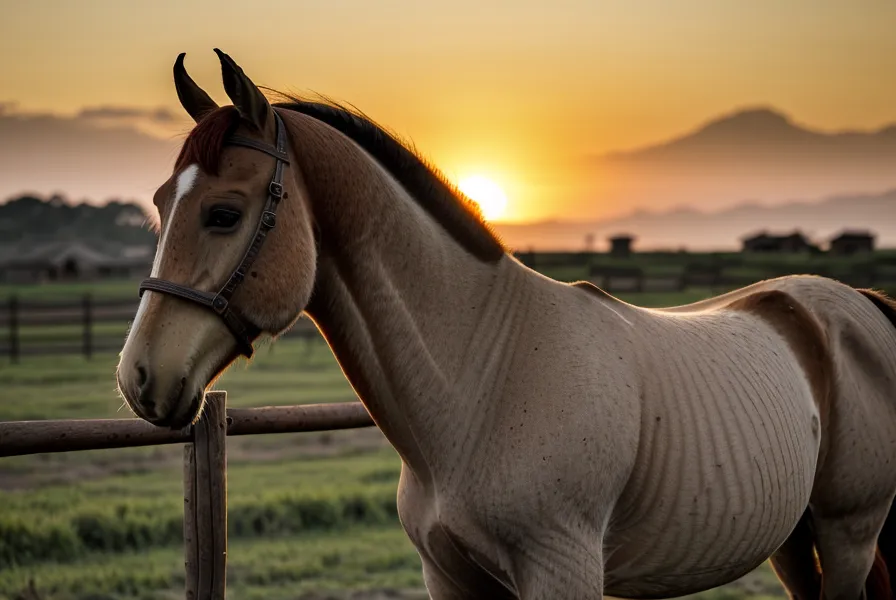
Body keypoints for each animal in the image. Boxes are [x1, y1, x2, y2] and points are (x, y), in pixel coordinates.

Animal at [116, 49, 896, 600]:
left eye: (223, 213)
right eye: (158, 203)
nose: (139, 377)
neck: (479, 381)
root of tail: (857, 303)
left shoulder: (561, 573)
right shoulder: (450, 579)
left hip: (848, 533)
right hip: (794, 540)